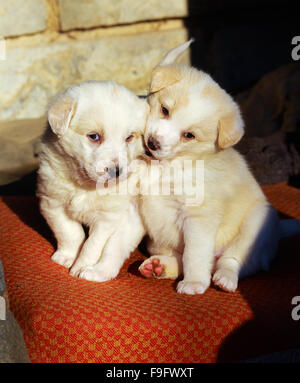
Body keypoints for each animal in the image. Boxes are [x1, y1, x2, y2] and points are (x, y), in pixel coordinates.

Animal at [37, 80, 149, 282]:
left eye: (129, 138)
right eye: (94, 136)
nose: (117, 171)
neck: (85, 185)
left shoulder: (108, 217)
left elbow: (92, 245)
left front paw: (80, 266)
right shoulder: (52, 203)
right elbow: (70, 232)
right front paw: (67, 256)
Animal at [138, 41, 300, 294]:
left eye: (189, 135)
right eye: (164, 110)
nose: (153, 143)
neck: (172, 164)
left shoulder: (198, 218)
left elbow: (194, 255)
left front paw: (195, 283)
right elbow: (187, 257)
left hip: (255, 223)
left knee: (233, 260)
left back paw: (225, 278)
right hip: (156, 243)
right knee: (181, 259)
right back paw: (158, 266)